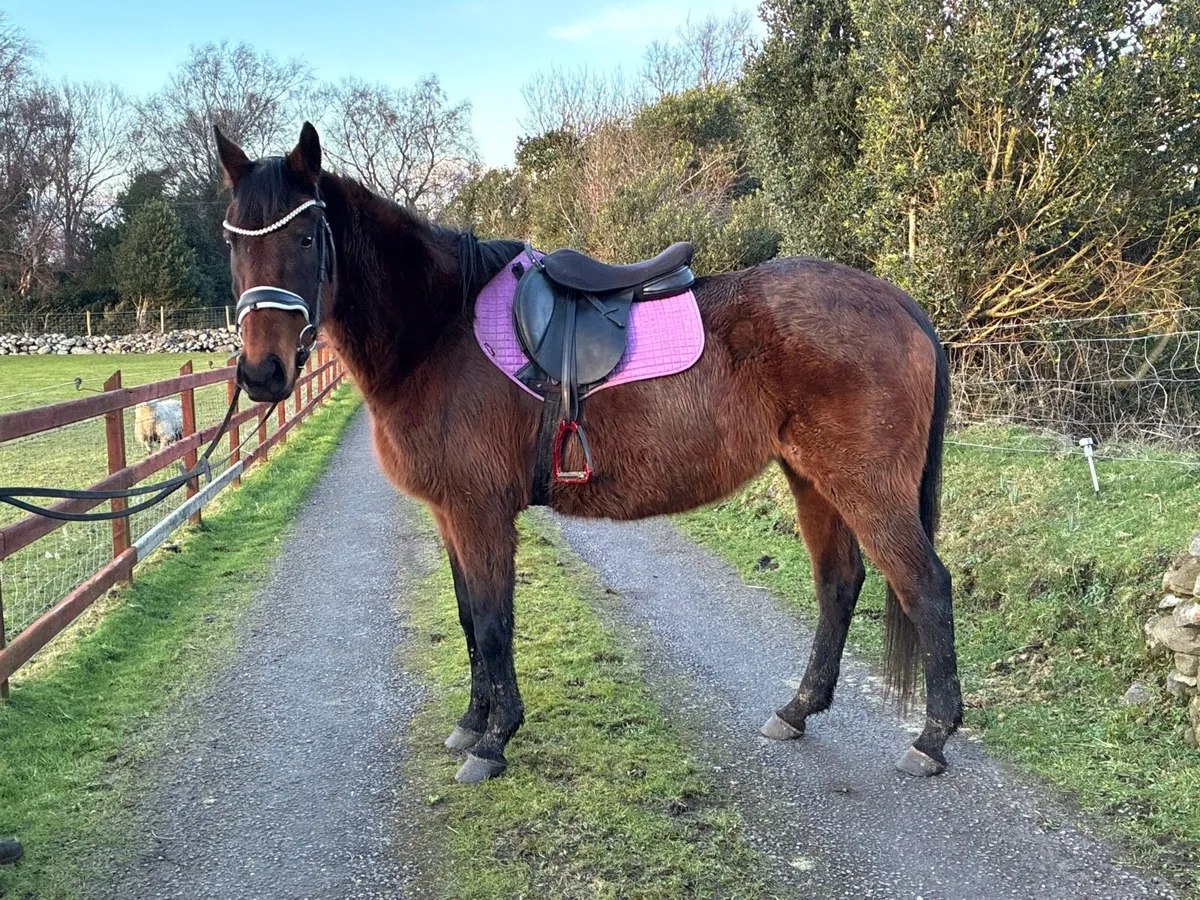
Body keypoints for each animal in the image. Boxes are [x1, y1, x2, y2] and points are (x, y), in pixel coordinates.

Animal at [215, 122, 962, 784]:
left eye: (306, 235)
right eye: (232, 241)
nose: (261, 374)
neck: (440, 330)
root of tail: (898, 302)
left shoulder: (480, 513)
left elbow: (493, 621)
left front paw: (494, 740)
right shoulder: (450, 515)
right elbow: (467, 616)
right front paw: (472, 720)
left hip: (866, 487)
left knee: (924, 586)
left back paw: (931, 740)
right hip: (812, 479)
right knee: (838, 584)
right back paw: (798, 710)